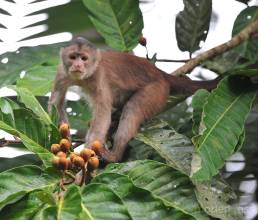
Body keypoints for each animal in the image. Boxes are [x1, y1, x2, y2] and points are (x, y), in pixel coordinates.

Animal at [48, 37, 220, 162]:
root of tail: (159, 73)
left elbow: (103, 113)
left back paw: (115, 156)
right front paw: (64, 140)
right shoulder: (61, 71)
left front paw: (88, 151)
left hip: (156, 91)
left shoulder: (98, 76)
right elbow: (56, 104)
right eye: (73, 57)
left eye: (84, 58)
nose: (78, 65)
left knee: (133, 108)